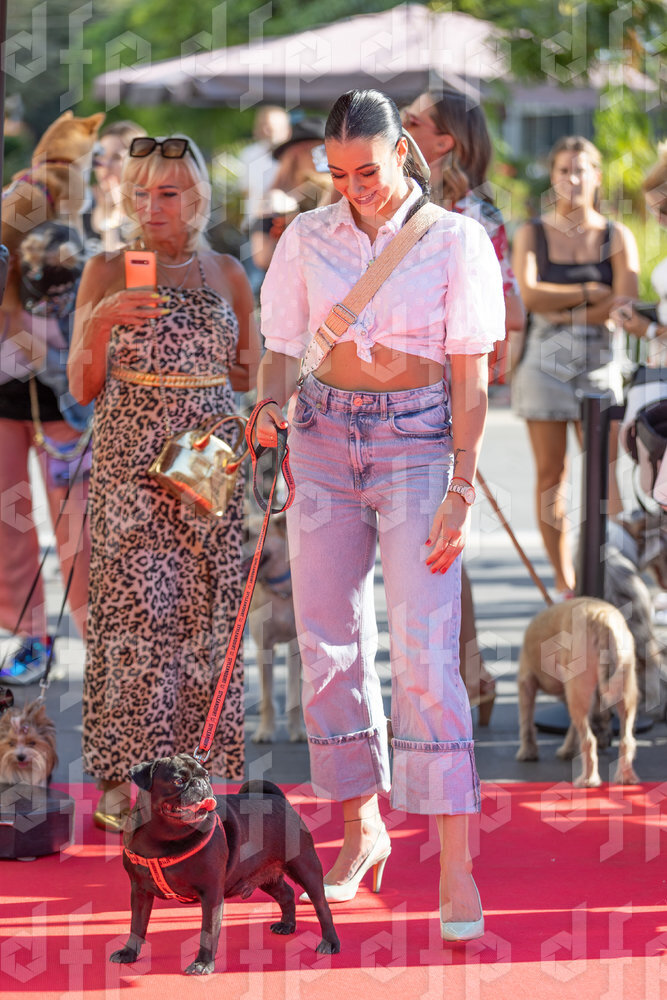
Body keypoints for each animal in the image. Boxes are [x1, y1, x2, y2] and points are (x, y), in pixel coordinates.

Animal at [110, 753, 340, 975]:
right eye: (178, 781)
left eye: (206, 776)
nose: (200, 783)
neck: (163, 838)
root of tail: (278, 799)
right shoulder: (140, 892)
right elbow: (136, 925)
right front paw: (129, 953)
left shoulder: (211, 894)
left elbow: (208, 932)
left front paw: (203, 964)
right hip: (266, 876)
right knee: (287, 894)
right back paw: (287, 925)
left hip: (304, 866)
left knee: (322, 906)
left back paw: (329, 942)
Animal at [246, 514, 305, 743]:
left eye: (249, 535)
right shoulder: (264, 647)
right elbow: (268, 695)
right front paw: (265, 731)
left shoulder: (295, 647)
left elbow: (295, 695)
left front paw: (297, 730)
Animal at [515, 597, 639, 787]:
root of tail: (602, 619)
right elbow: (574, 728)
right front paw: (567, 750)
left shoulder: (526, 682)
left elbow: (526, 722)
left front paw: (528, 752)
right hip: (624, 691)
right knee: (627, 740)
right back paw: (625, 777)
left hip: (578, 691)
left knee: (588, 740)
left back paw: (588, 779)